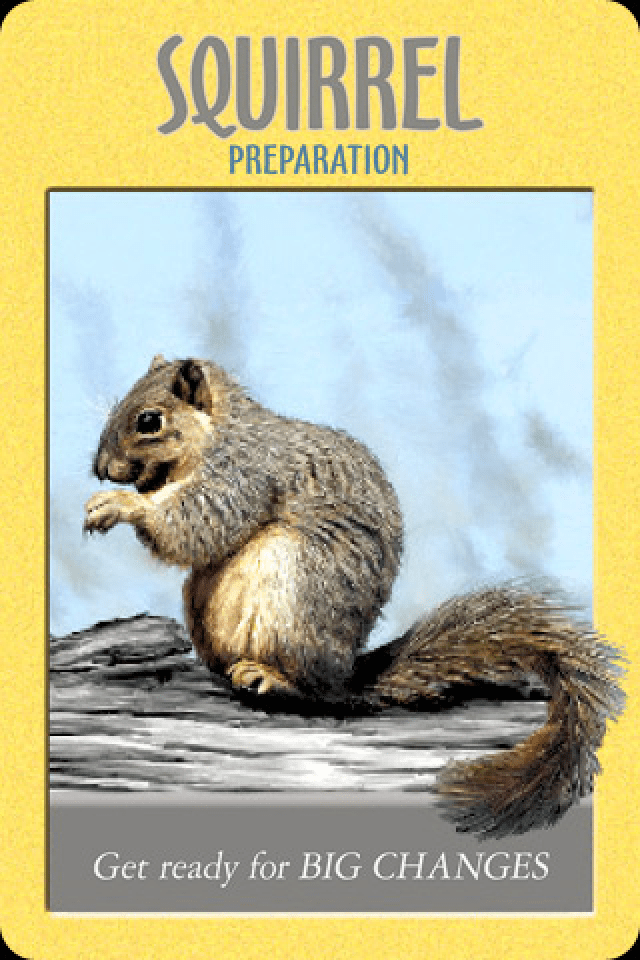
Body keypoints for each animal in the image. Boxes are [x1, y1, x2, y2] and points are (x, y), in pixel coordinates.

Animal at [84, 354, 625, 838]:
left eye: (150, 421)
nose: (101, 469)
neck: (219, 435)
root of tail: (348, 672)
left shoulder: (243, 474)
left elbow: (200, 521)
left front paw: (120, 504)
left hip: (292, 588)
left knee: (318, 693)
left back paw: (270, 678)